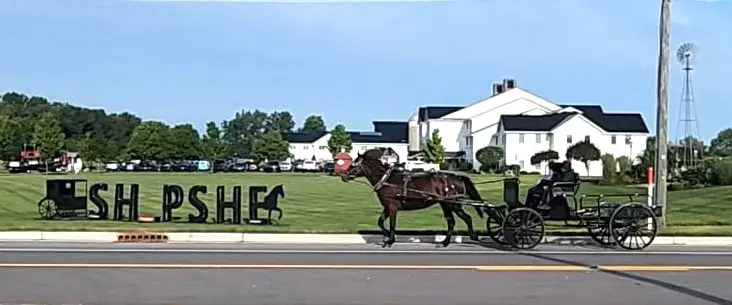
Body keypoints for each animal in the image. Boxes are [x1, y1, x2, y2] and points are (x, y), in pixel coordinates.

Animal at [342, 148, 486, 247]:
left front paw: (390, 240)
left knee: (461, 219)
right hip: (446, 204)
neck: (387, 180)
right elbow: (380, 222)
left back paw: (461, 239)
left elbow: (392, 224)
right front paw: (388, 237)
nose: (344, 176)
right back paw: (452, 240)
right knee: (455, 220)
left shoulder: (392, 207)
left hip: (452, 204)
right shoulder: (387, 207)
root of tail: (457, 178)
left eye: (354, 164)